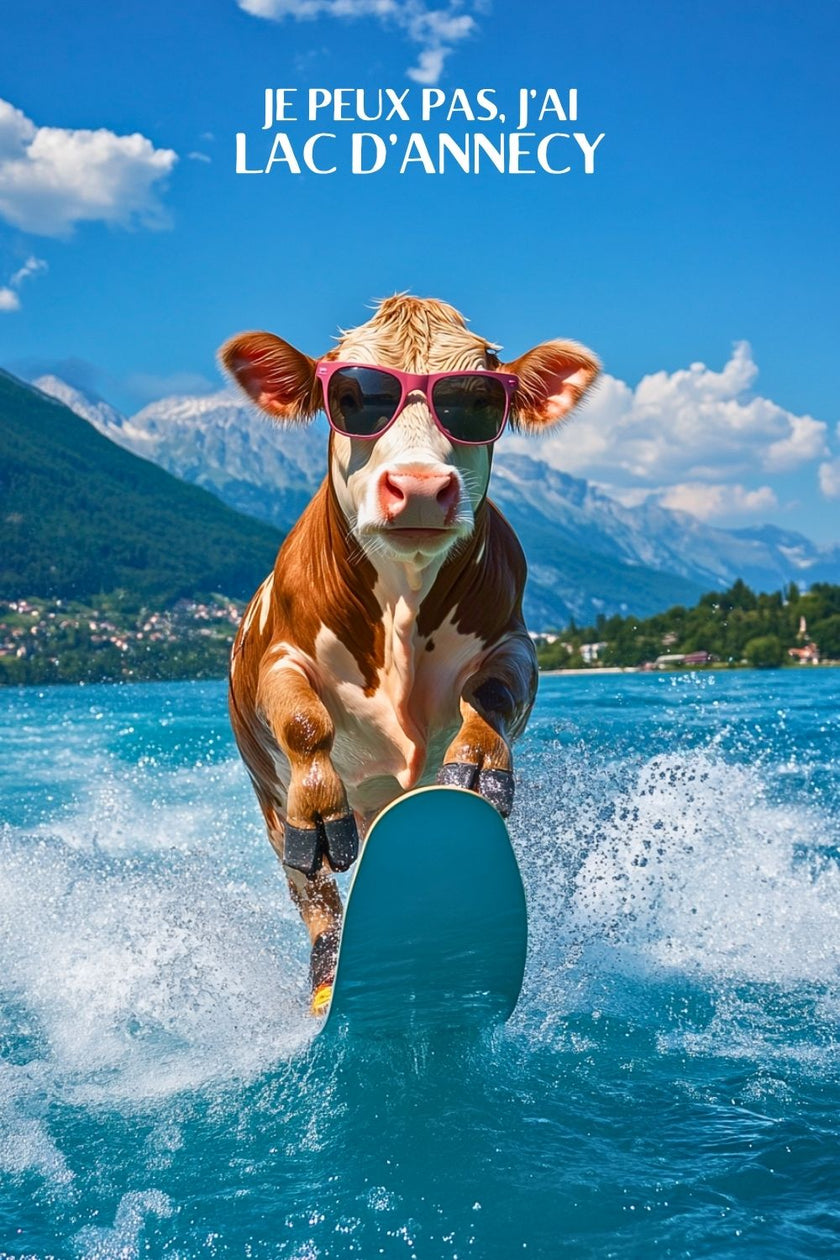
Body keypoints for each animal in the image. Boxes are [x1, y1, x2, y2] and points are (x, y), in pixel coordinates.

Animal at [220, 296, 599, 1013]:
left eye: (478, 398)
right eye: (349, 396)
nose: (420, 486)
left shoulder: (515, 641)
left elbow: (493, 694)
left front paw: (476, 765)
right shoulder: (280, 655)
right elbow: (304, 719)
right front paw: (320, 799)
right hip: (270, 809)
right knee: (316, 900)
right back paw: (327, 985)